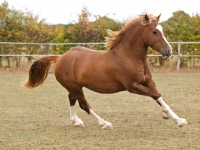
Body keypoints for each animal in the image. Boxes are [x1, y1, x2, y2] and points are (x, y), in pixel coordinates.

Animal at [24, 13, 188, 129]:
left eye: (162, 30)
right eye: (154, 32)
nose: (169, 51)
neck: (130, 57)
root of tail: (60, 58)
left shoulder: (148, 82)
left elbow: (158, 96)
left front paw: (178, 119)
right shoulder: (132, 87)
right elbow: (156, 95)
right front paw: (169, 117)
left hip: (75, 87)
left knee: (72, 99)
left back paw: (76, 122)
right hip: (75, 87)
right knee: (84, 105)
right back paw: (104, 124)